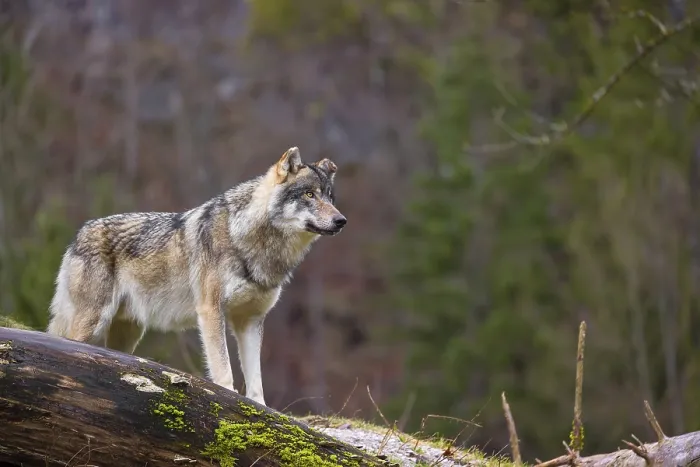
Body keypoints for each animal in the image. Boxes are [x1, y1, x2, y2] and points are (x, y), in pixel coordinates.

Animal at [46, 147, 346, 406]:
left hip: (127, 335)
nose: (341, 221)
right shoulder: (211, 310)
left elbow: (256, 381)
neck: (249, 240)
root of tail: (79, 234)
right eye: (309, 194)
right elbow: (224, 370)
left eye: (330, 197)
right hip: (92, 323)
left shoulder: (250, 320)